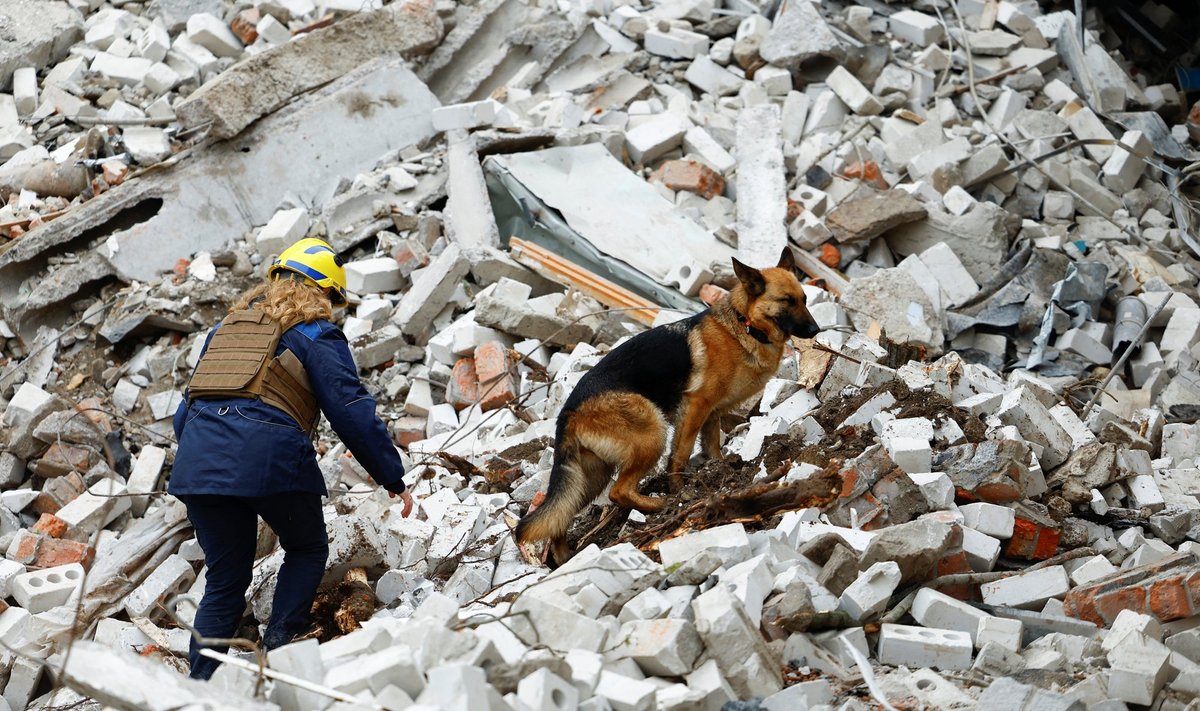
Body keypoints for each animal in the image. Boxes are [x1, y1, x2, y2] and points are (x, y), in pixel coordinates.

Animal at [511, 249, 820, 566]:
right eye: (787, 301)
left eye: (804, 299)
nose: (815, 330)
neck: (744, 323)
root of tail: (568, 412)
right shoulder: (696, 406)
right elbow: (680, 454)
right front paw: (681, 491)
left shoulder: (712, 414)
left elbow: (712, 446)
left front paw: (722, 470)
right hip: (652, 435)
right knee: (618, 492)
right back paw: (659, 504)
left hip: (590, 477)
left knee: (562, 514)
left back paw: (565, 556)